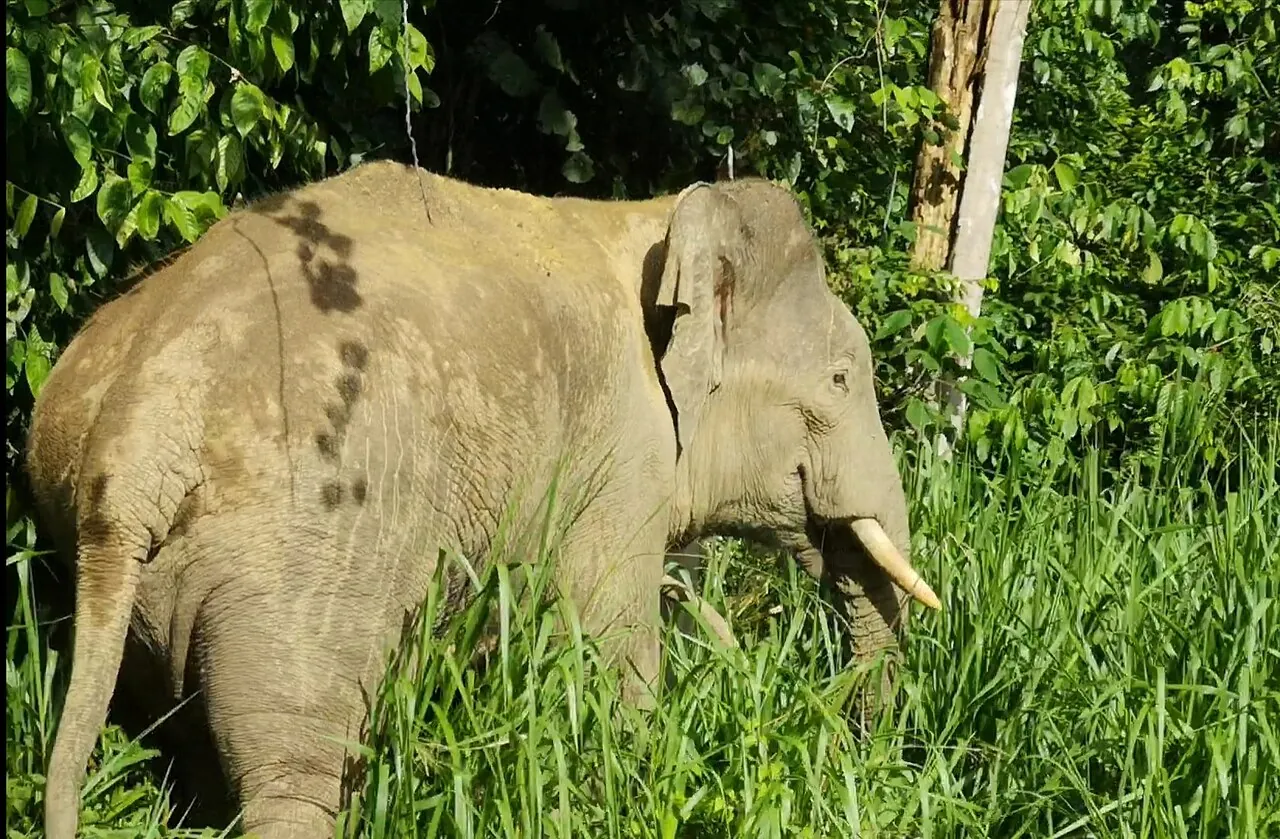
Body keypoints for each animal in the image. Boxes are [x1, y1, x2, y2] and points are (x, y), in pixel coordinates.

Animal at [24, 161, 940, 839]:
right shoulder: (622, 449)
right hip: (295, 565)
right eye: (841, 380)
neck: (651, 220)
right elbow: (612, 640)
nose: (863, 757)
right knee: (295, 763)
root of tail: (131, 440)